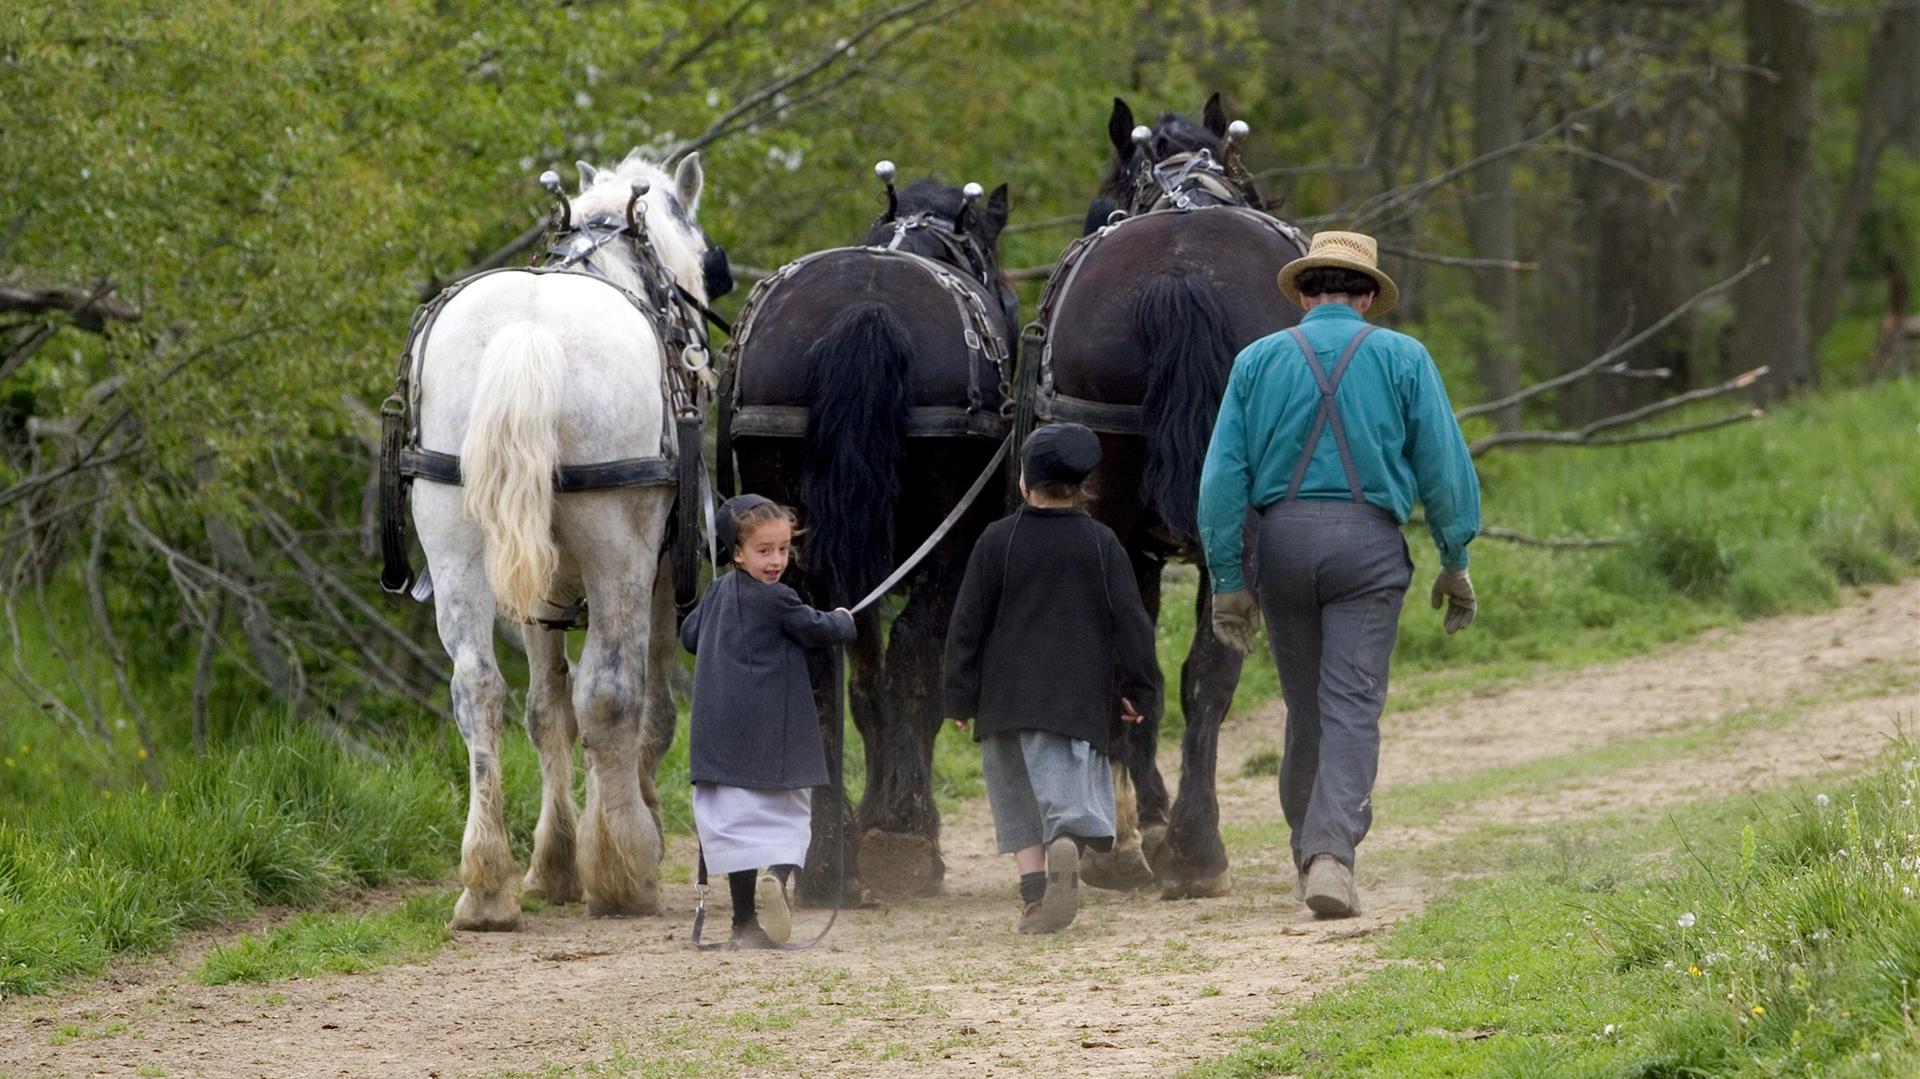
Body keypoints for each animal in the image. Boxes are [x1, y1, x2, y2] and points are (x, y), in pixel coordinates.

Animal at [410, 148, 714, 925]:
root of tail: (529, 332)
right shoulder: (660, 576)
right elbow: (647, 708)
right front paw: (632, 825)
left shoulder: (535, 593)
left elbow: (545, 711)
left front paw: (553, 862)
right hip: (619, 551)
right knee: (610, 693)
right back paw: (625, 873)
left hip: (457, 543)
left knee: (478, 690)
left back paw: (487, 881)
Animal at [721, 174, 1021, 898]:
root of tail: (866, 312)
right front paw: (892, 816)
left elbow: (861, 680)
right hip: (949, 538)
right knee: (916, 652)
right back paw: (905, 836)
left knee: (813, 662)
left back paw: (823, 853)